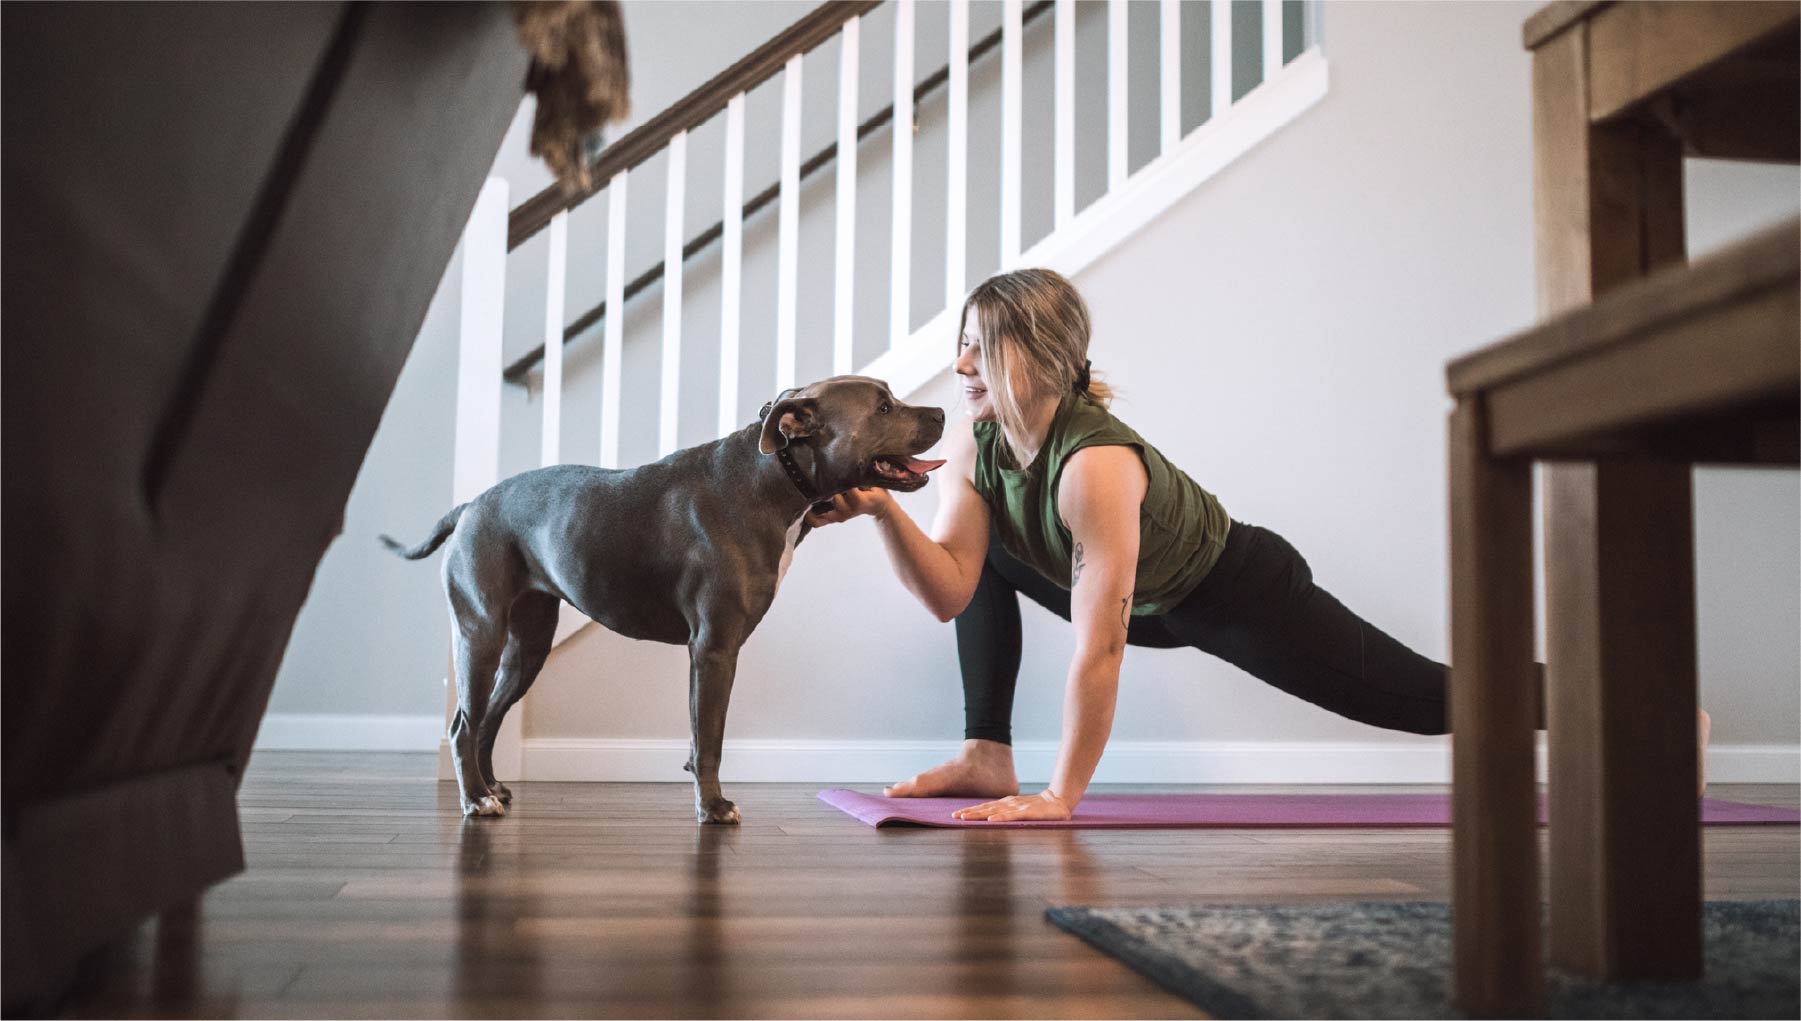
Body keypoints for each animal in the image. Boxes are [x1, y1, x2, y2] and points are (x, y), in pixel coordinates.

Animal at [378, 376, 943, 824]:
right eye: (884, 408)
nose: (940, 412)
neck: (775, 476)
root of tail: (471, 505)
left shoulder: (707, 654)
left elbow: (699, 737)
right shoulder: (715, 649)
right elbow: (711, 739)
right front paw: (713, 808)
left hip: (527, 648)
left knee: (488, 719)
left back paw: (490, 787)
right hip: (480, 634)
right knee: (463, 725)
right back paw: (475, 800)